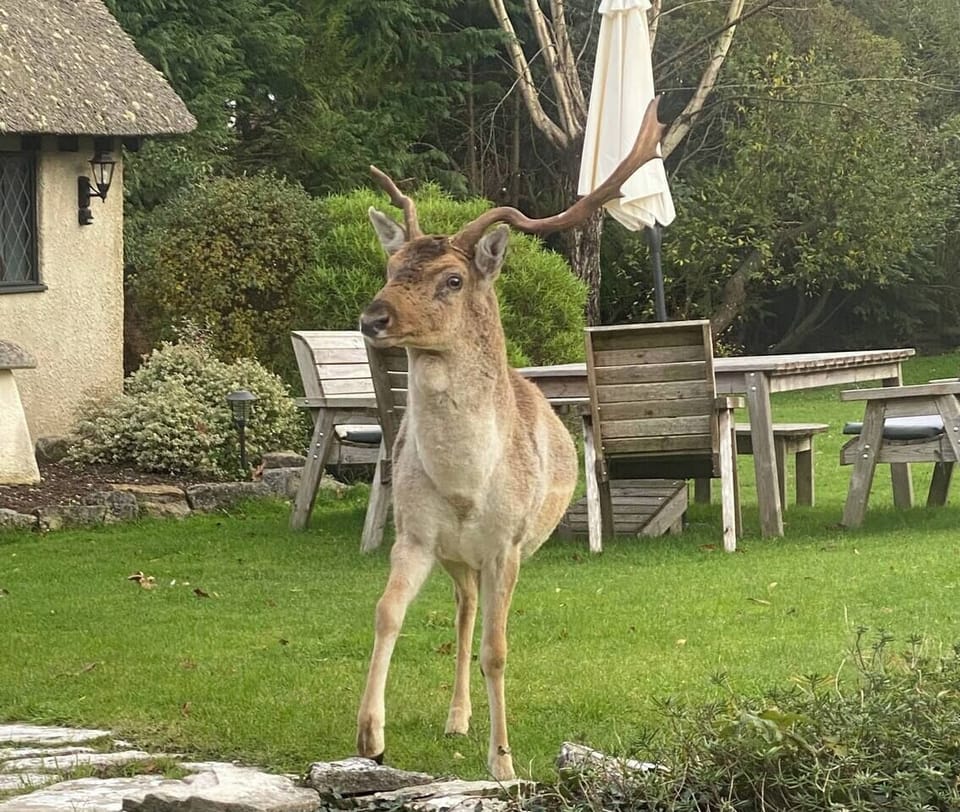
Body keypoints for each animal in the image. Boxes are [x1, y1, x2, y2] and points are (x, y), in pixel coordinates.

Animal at [356, 97, 667, 781]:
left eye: (452, 280)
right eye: (390, 267)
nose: (372, 317)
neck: (466, 486)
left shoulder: (507, 544)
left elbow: (498, 651)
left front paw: (503, 763)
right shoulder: (413, 534)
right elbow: (385, 612)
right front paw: (369, 734)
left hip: (509, 552)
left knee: (483, 622)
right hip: (457, 558)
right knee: (464, 612)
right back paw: (455, 717)